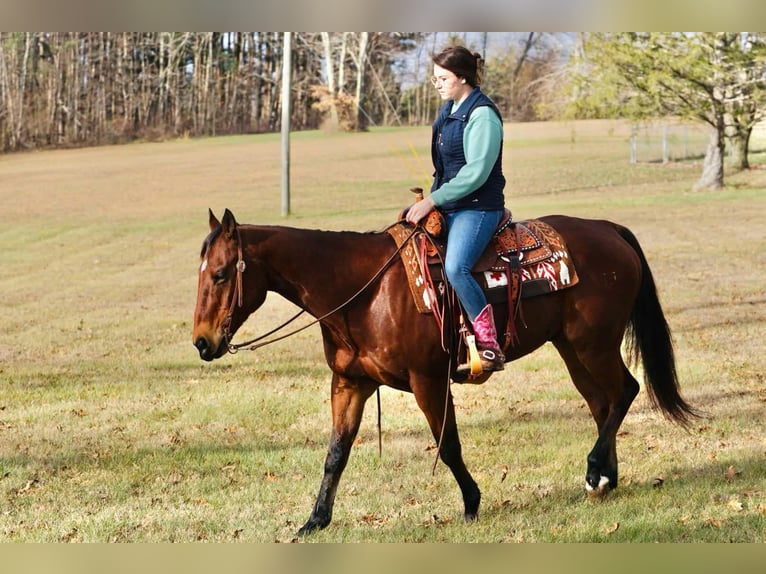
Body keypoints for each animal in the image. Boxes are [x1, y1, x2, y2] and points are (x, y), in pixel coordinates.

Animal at [192, 208, 698, 535]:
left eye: (220, 274)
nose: (202, 342)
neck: (363, 292)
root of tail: (609, 229)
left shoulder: (428, 382)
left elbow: (448, 445)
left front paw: (472, 504)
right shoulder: (350, 384)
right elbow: (336, 454)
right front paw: (315, 520)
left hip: (595, 345)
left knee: (625, 391)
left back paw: (596, 471)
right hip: (572, 348)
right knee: (602, 404)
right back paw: (605, 479)